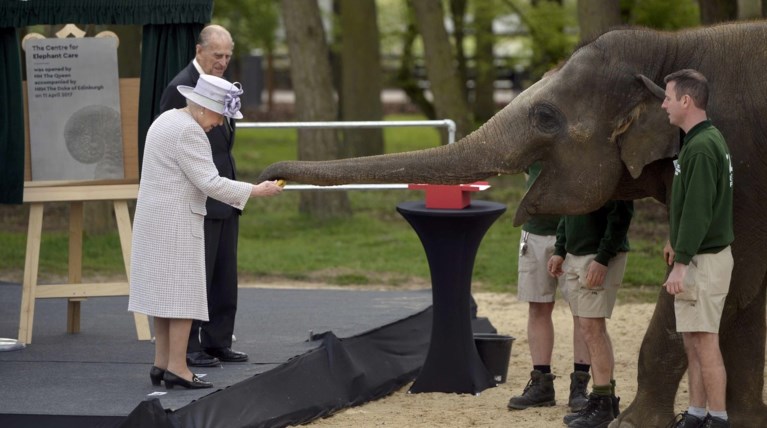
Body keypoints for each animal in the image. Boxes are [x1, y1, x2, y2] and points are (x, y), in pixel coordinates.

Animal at [260, 21, 767, 426]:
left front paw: (632, 424)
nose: (270, 176)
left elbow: (731, 277)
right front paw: (747, 420)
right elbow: (748, 292)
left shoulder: (739, 166)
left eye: (544, 116)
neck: (671, 46)